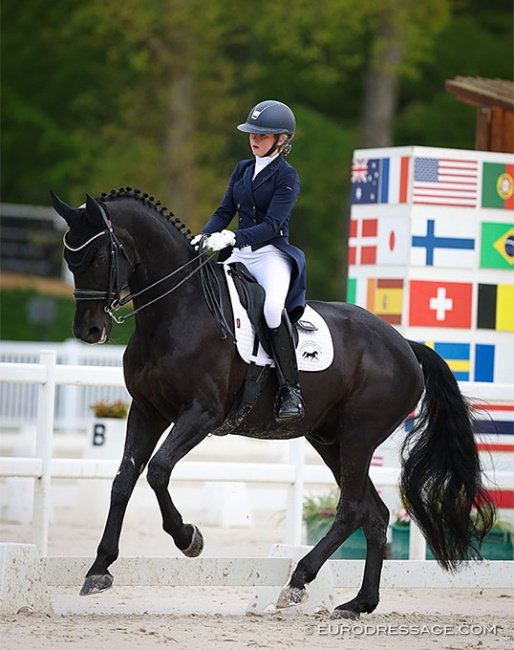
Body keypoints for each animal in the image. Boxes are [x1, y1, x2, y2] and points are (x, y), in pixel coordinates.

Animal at [51, 189, 492, 616]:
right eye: (68, 259)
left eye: (99, 256)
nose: (89, 330)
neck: (176, 312)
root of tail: (405, 345)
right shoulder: (147, 410)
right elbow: (123, 479)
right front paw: (99, 569)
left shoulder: (202, 414)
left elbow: (158, 471)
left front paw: (188, 538)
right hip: (329, 440)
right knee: (375, 514)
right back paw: (359, 603)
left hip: (359, 437)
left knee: (351, 509)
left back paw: (298, 581)